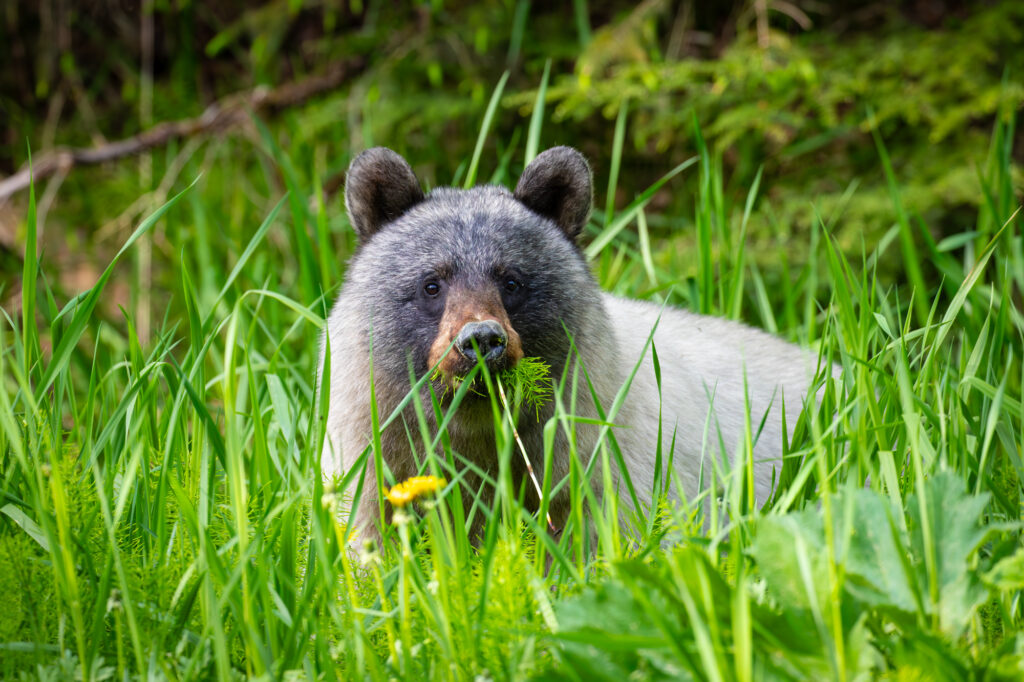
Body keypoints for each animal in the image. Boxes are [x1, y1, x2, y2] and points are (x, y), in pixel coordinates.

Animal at [320, 146, 829, 539]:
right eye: (432, 284)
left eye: (511, 280)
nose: (481, 340)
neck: (478, 431)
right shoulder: (381, 464)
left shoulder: (597, 469)